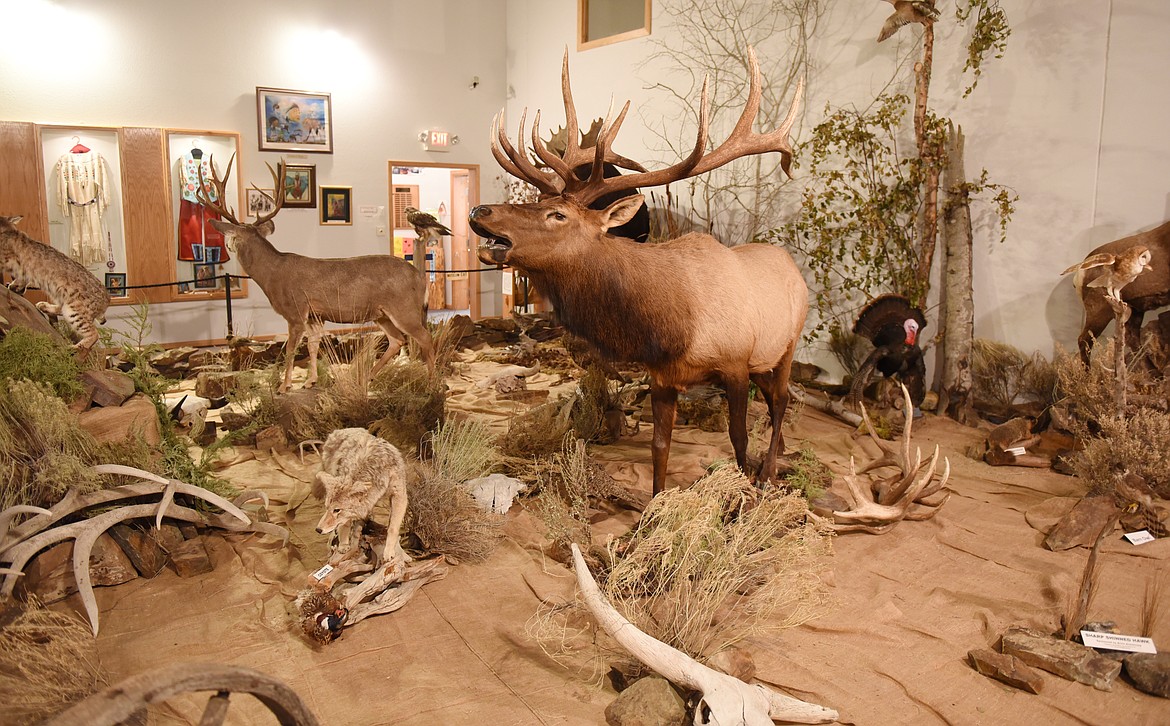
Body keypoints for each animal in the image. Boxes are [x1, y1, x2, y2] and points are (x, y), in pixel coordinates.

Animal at [198, 157, 437, 390]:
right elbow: (313, 346)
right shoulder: (315, 315)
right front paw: (310, 381)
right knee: (398, 340)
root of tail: (420, 277)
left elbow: (291, 349)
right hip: (381, 314)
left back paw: (431, 384)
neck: (272, 274)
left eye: (231, 238)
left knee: (425, 338)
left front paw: (284, 386)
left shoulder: (295, 310)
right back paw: (367, 377)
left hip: (403, 308)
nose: (227, 249)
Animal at [470, 48, 809, 495]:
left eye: (557, 214)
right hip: (764, 357)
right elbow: (659, 448)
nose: (479, 211)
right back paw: (783, 451)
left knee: (782, 398)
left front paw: (747, 492)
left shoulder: (736, 364)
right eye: (541, 200)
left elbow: (738, 440)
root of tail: (794, 269)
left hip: (789, 342)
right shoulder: (663, 377)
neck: (669, 327)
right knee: (773, 398)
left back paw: (770, 468)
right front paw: (652, 504)